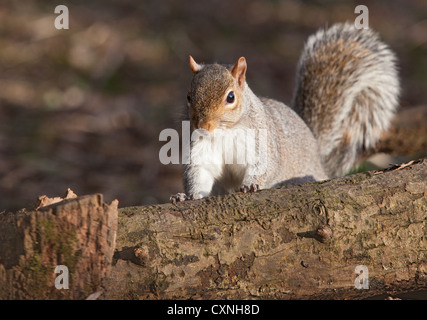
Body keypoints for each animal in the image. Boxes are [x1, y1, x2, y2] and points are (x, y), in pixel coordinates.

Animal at [171, 22, 402, 202]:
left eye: (230, 97)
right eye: (188, 96)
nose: (203, 125)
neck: (225, 131)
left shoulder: (261, 141)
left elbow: (263, 166)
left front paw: (251, 185)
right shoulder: (200, 148)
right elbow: (199, 172)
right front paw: (189, 196)